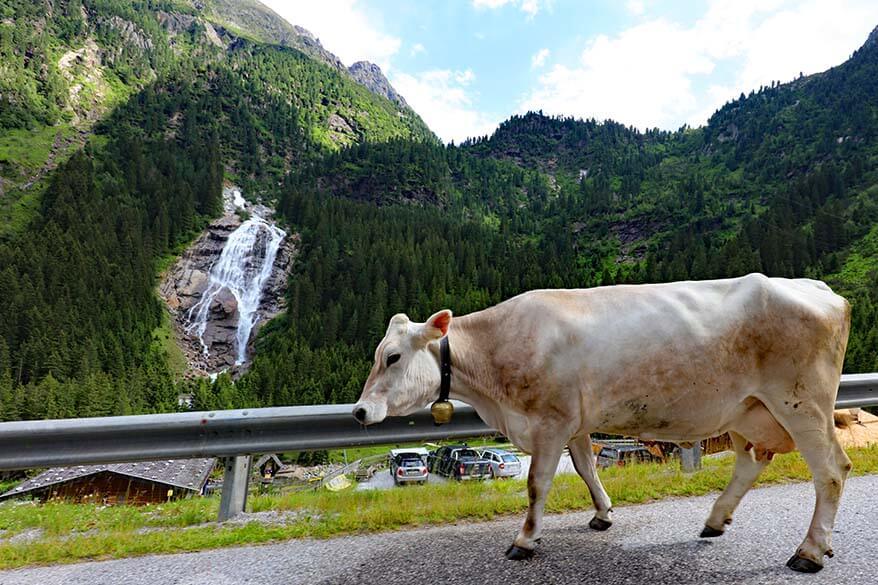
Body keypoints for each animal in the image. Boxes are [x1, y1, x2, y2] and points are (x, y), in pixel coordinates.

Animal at [350, 274, 852, 572]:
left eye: (392, 357)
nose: (358, 412)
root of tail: (820, 289)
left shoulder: (550, 420)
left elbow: (537, 483)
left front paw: (525, 540)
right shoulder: (575, 421)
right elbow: (587, 468)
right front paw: (603, 513)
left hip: (801, 403)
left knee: (831, 470)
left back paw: (809, 551)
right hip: (749, 409)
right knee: (751, 461)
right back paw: (715, 520)